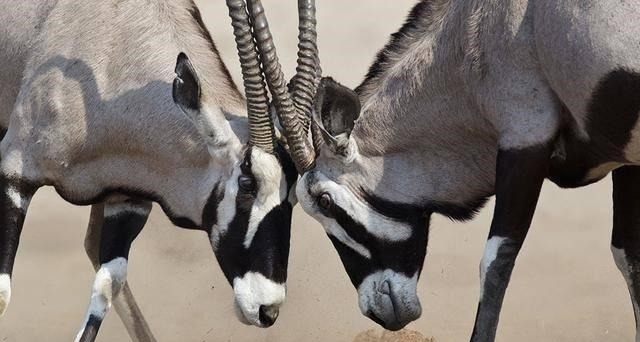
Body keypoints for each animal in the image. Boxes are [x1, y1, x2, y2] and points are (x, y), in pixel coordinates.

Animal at [0, 0, 318, 340]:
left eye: (293, 197)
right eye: (247, 182)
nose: (267, 309)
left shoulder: (126, 201)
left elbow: (107, 286)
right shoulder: (16, 173)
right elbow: (3, 293)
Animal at [189, 0, 640, 340]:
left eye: (324, 201)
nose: (380, 311)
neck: (475, 33)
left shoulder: (524, 136)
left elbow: (494, 264)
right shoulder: (626, 160)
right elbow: (628, 256)